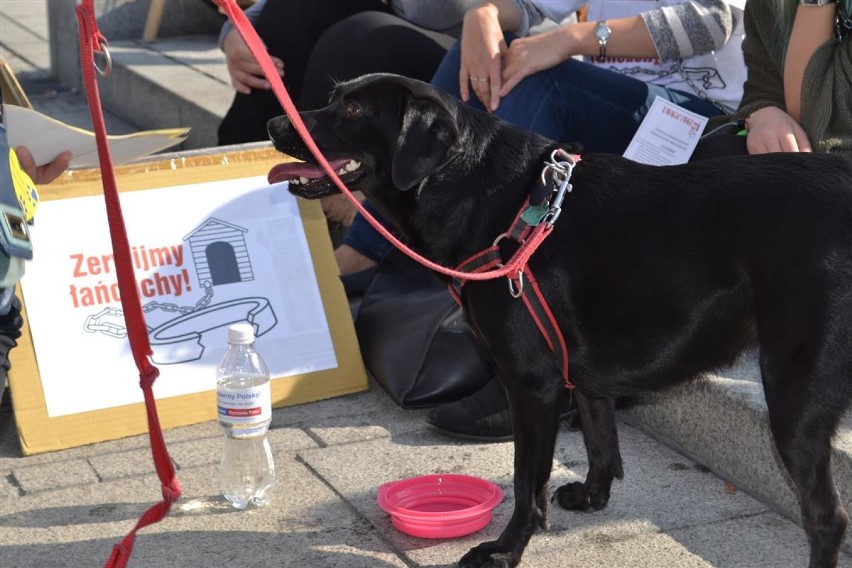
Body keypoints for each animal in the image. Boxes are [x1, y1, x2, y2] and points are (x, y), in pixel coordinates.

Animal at [268, 75, 852, 568]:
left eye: (353, 110)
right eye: (335, 95)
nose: (274, 124)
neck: (484, 193)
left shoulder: (530, 385)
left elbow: (529, 479)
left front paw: (506, 550)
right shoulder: (583, 373)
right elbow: (600, 438)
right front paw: (593, 497)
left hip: (793, 397)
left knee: (827, 518)